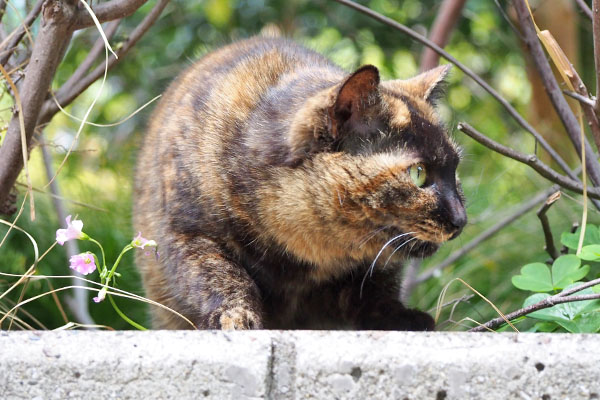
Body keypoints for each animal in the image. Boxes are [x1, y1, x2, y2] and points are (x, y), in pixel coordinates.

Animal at [134, 36, 466, 332]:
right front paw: (235, 317)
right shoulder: (188, 234)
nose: (461, 219)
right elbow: (222, 276)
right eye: (419, 173)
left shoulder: (375, 266)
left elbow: (376, 290)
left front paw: (400, 318)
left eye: (455, 170)